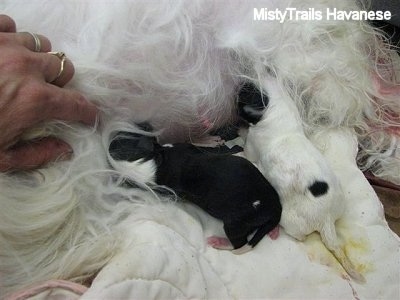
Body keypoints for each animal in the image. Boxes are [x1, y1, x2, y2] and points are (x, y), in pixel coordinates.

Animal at [109, 132, 282, 252]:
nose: (111, 137)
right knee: (240, 244)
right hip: (235, 224)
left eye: (125, 137)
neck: (153, 163)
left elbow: (194, 143)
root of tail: (275, 208)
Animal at [241, 76, 366, 282]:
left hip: (289, 219)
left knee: (299, 236)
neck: (281, 115)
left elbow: (247, 149)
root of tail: (327, 221)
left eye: (245, 92)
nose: (240, 83)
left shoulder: (251, 148)